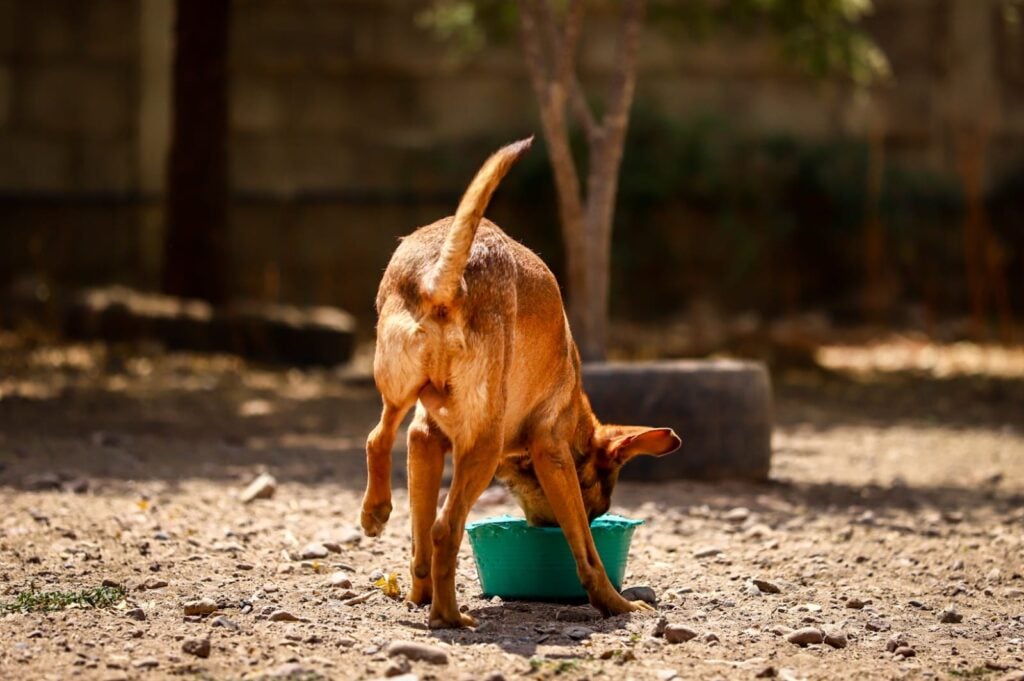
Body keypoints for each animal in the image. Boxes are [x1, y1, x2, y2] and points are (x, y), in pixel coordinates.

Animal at [360, 134, 679, 626]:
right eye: (598, 507)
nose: (539, 526)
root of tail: (442, 280)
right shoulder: (553, 453)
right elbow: (586, 549)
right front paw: (617, 603)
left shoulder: (425, 438)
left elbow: (417, 543)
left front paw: (418, 596)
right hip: (483, 447)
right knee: (445, 528)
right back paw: (450, 617)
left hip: (399, 392)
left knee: (379, 440)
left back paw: (377, 514)